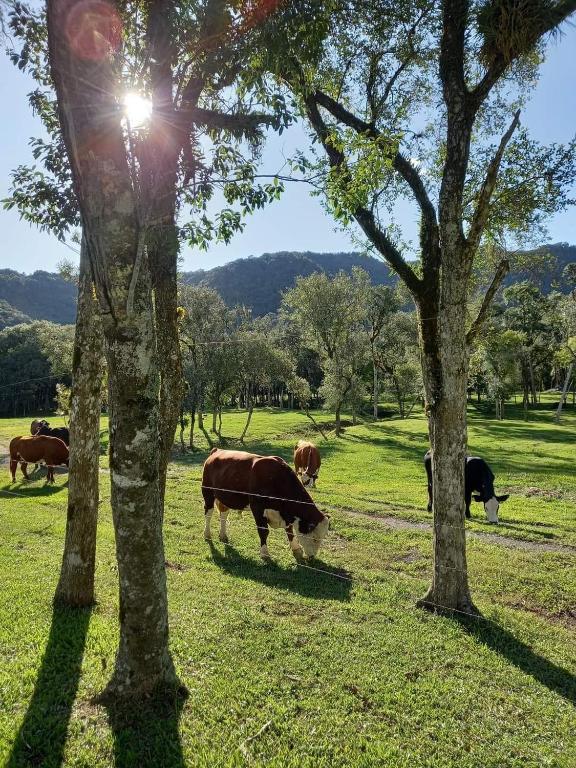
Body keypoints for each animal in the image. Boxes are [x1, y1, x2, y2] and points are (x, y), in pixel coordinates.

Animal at [202, 448, 330, 560]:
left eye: (322, 538)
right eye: (314, 538)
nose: (312, 557)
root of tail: (217, 450)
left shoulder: (286, 514)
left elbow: (290, 531)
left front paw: (296, 549)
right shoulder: (257, 508)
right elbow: (263, 531)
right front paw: (264, 553)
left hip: (225, 497)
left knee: (224, 514)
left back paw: (223, 535)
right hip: (207, 492)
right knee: (208, 513)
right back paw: (207, 534)